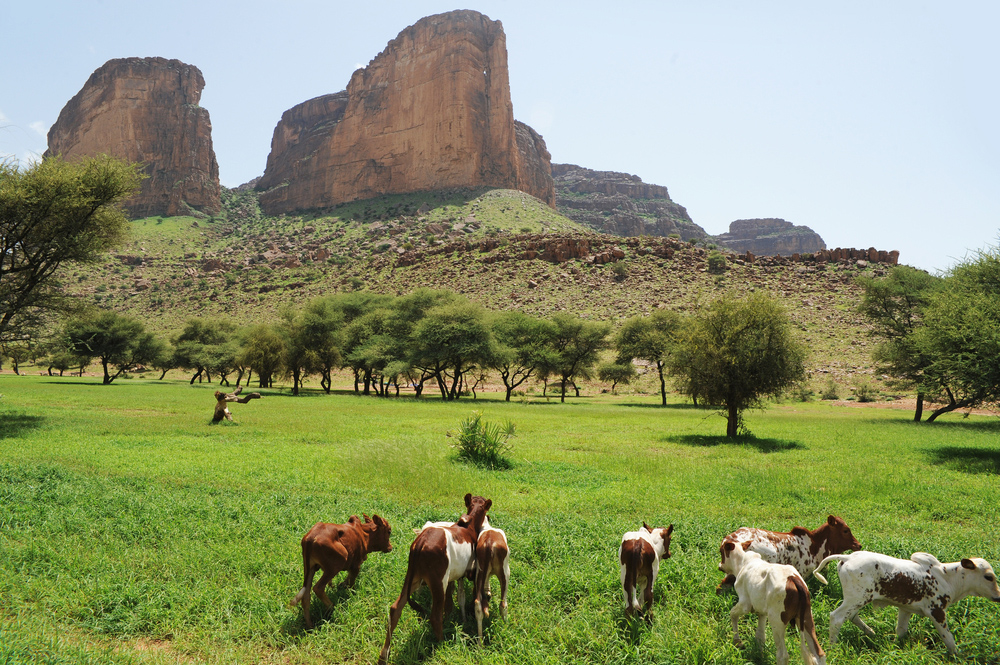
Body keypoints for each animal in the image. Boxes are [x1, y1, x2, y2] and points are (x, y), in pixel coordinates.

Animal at [378, 492, 492, 664]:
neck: (469, 525)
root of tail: (421, 542)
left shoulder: (453, 576)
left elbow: (452, 601)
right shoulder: (465, 573)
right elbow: (459, 597)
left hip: (413, 576)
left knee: (395, 608)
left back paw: (384, 653)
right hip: (438, 580)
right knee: (435, 616)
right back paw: (442, 643)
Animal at [816, 548, 996, 652]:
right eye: (989, 577)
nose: (998, 596)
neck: (947, 577)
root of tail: (847, 557)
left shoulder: (905, 609)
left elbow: (901, 630)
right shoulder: (936, 611)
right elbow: (949, 639)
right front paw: (958, 656)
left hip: (857, 600)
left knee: (852, 617)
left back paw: (871, 633)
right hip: (856, 599)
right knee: (837, 617)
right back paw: (833, 647)